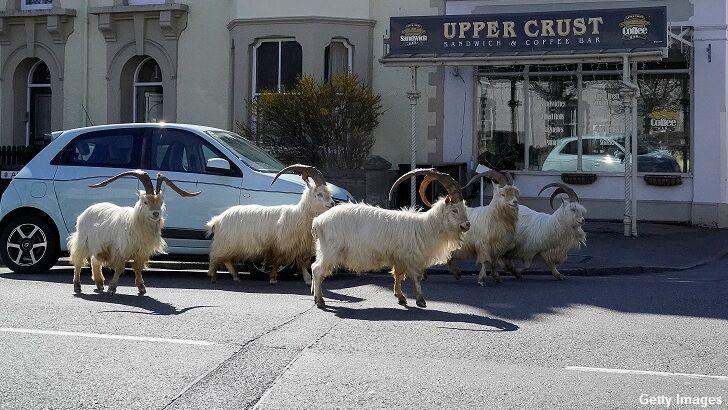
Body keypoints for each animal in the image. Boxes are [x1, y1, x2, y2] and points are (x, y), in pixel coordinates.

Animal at [69, 170, 200, 295]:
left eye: (161, 202)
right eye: (145, 201)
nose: (156, 214)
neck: (135, 223)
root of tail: (87, 210)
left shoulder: (141, 252)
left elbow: (138, 268)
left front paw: (141, 288)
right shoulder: (120, 250)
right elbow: (119, 268)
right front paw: (112, 289)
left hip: (99, 247)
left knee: (94, 261)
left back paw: (99, 283)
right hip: (82, 241)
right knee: (78, 261)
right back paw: (77, 286)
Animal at [311, 169, 470, 308]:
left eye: (464, 208)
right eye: (454, 210)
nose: (467, 225)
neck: (424, 227)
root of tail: (318, 221)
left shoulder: (398, 257)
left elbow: (397, 275)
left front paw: (400, 297)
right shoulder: (411, 257)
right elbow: (416, 277)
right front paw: (420, 300)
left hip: (323, 250)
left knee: (314, 267)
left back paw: (316, 297)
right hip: (330, 251)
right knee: (317, 270)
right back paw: (320, 301)